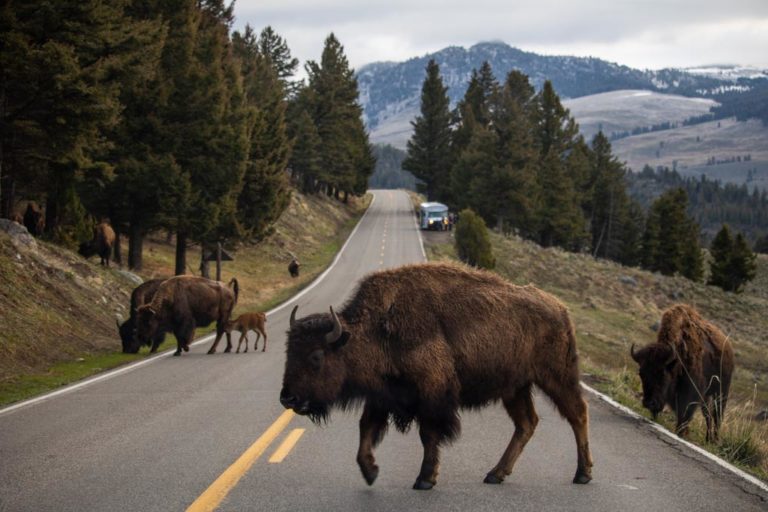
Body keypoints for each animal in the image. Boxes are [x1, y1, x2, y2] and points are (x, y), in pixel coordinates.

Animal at [280, 262, 592, 490]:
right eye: (289, 352)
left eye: (316, 356)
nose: (287, 398)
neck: (378, 328)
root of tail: (560, 309)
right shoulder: (384, 395)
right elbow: (366, 429)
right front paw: (370, 472)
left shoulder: (432, 394)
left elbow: (428, 434)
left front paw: (424, 479)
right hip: (515, 387)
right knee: (527, 423)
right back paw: (495, 474)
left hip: (556, 377)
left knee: (577, 413)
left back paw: (583, 474)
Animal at [632, 304, 736, 440]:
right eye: (641, 374)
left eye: (662, 374)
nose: (649, 403)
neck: (676, 359)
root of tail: (728, 347)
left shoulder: (691, 392)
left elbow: (685, 413)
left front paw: (681, 432)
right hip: (707, 396)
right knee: (708, 414)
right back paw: (708, 438)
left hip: (721, 391)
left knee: (717, 415)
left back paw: (715, 439)